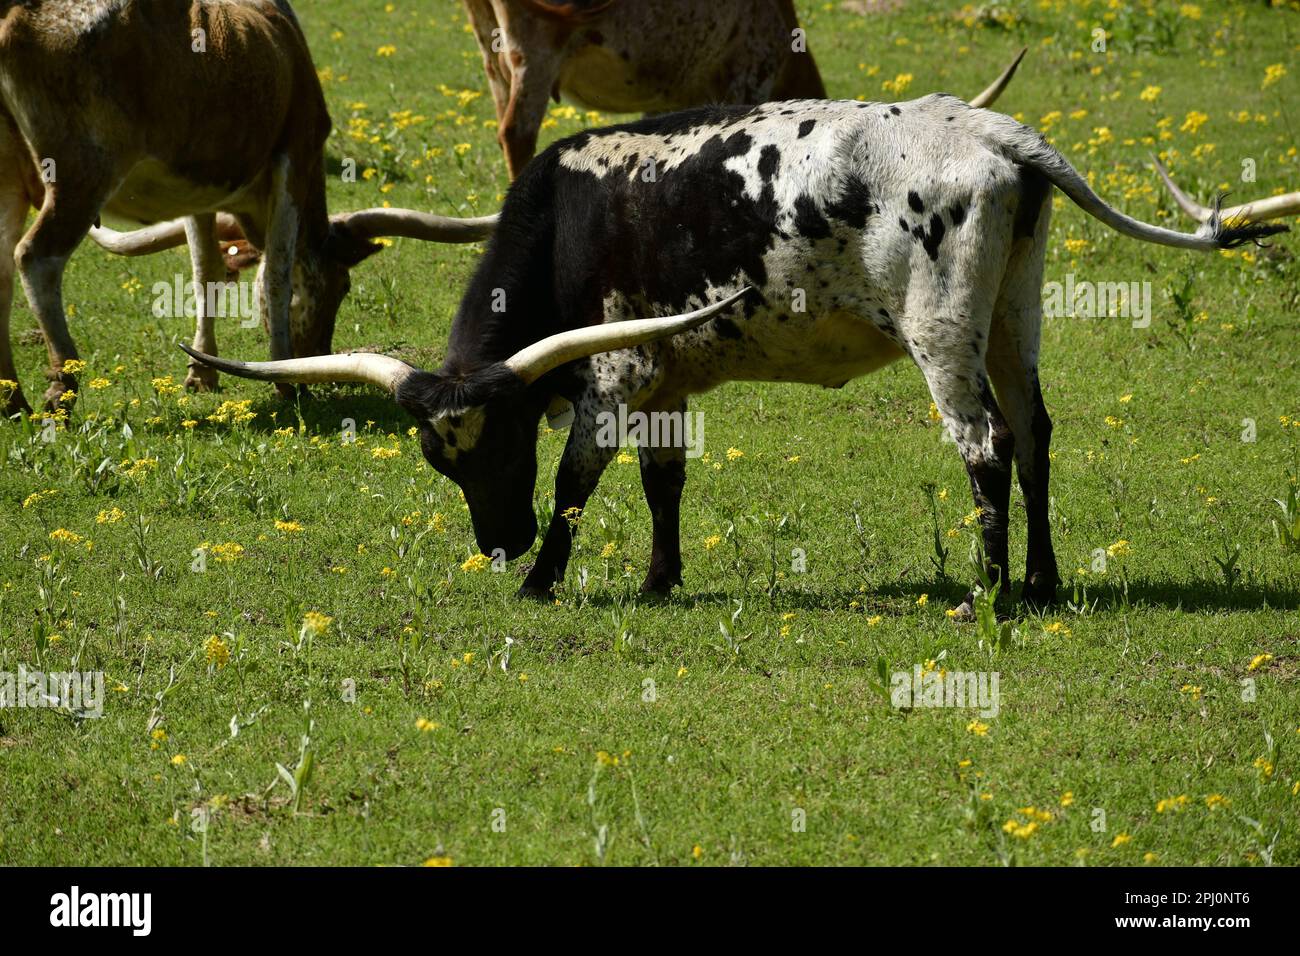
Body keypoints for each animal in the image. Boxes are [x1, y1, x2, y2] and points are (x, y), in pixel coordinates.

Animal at [0, 1, 493, 416]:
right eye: (342, 287)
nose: (320, 359)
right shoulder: (295, 158)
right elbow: (277, 273)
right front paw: (285, 381)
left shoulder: (200, 190)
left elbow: (206, 272)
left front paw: (203, 370)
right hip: (82, 171)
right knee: (36, 258)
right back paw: (62, 382)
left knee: (5, 270)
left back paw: (12, 398)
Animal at [183, 95, 1289, 613]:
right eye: (438, 460)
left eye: (501, 443)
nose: (498, 540)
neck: (568, 219)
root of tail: (997, 139)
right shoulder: (665, 376)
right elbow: (663, 482)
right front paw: (659, 579)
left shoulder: (617, 373)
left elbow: (582, 476)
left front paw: (545, 578)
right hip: (1015, 308)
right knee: (1036, 435)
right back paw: (1047, 582)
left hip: (942, 329)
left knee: (983, 445)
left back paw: (990, 590)